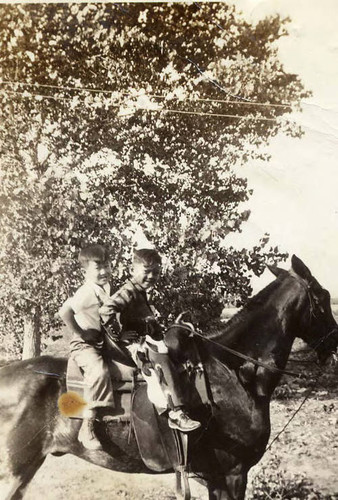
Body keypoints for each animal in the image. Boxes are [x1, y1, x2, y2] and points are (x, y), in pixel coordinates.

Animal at [0, 256, 336, 498]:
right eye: (323, 297)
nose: (334, 342)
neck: (237, 372)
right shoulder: (233, 473)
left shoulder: (218, 477)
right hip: (14, 472)